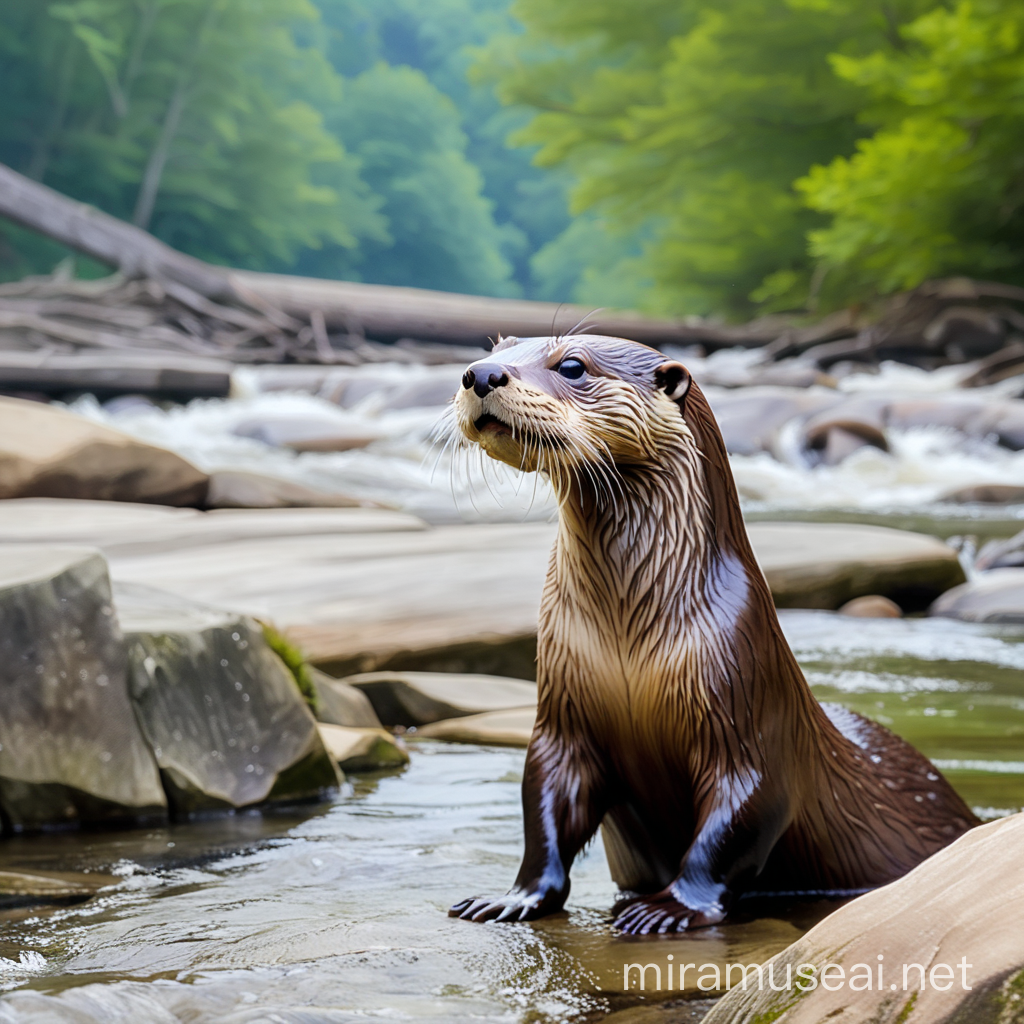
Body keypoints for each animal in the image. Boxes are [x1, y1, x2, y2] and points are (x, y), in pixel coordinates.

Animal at [446, 335, 974, 937]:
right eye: (500, 347)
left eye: (573, 366)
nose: (481, 374)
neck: (626, 641)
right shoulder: (564, 713)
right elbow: (545, 806)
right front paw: (515, 898)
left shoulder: (746, 707)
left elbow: (735, 821)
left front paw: (669, 907)